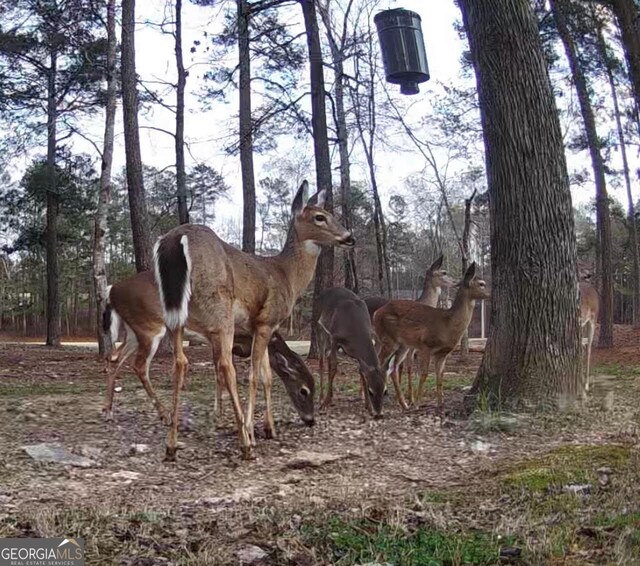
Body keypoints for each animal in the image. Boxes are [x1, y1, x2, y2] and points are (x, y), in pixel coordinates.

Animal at [100, 272, 318, 428]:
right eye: (304, 390)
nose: (310, 420)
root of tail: (112, 290)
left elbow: (263, 377)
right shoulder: (220, 337)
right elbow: (221, 374)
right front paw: (219, 416)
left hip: (133, 331)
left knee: (114, 358)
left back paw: (109, 412)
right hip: (150, 326)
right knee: (138, 365)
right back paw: (165, 415)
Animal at [155, 182, 356, 462]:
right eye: (320, 217)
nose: (349, 237)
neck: (286, 275)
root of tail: (177, 238)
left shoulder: (259, 330)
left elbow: (267, 376)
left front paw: (269, 428)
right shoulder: (266, 322)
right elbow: (254, 376)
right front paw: (253, 431)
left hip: (175, 313)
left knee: (180, 362)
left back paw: (171, 446)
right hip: (220, 310)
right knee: (226, 366)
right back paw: (245, 444)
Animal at [316, 288, 384, 418]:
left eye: (384, 391)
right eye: (371, 392)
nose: (378, 413)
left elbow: (361, 371)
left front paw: (368, 407)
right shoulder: (334, 337)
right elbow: (334, 367)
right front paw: (324, 405)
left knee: (327, 357)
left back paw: (330, 397)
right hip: (321, 328)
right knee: (322, 359)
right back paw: (321, 399)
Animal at [360, 255, 456, 406]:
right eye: (444, 272)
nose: (455, 282)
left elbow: (402, 366)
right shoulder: (411, 346)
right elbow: (408, 367)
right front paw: (411, 397)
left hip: (377, 340)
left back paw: (365, 396)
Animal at [372, 264, 488, 414]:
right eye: (481, 284)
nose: (490, 294)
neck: (447, 323)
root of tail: (376, 313)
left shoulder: (442, 353)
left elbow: (440, 377)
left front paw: (441, 406)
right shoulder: (425, 346)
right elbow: (424, 374)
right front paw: (417, 404)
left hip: (401, 345)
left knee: (391, 367)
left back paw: (403, 404)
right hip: (388, 339)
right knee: (379, 363)